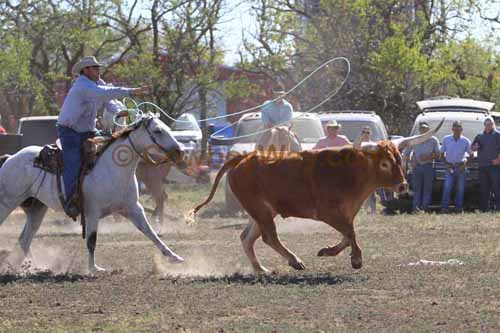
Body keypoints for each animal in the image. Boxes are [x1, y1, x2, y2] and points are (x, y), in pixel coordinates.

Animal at [188, 120, 442, 274]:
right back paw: (294, 260)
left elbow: (347, 234)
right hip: (260, 210)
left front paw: (329, 251)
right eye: (385, 163)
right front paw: (356, 259)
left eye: (399, 158)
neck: (350, 172)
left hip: (260, 211)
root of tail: (243, 158)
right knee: (268, 237)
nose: (403, 185)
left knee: (247, 238)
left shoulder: (347, 213)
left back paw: (261, 270)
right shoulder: (327, 212)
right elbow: (350, 233)